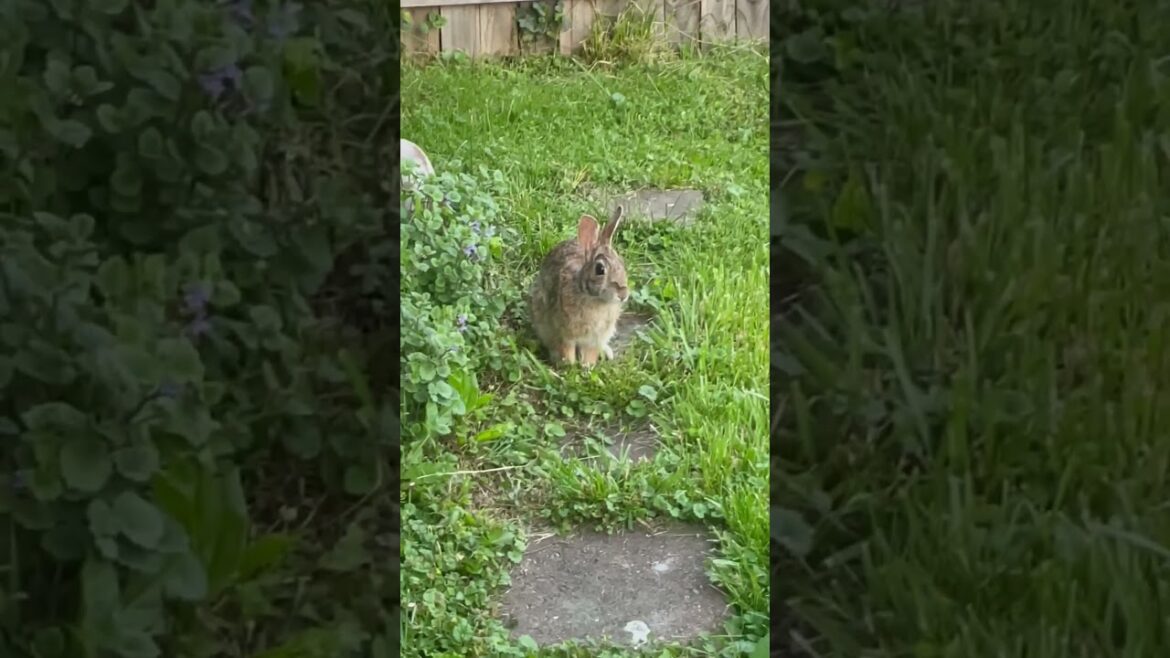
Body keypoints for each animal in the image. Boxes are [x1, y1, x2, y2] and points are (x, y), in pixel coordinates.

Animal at [529, 205, 630, 368]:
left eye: (622, 264)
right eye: (600, 269)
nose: (623, 295)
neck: (591, 296)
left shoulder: (595, 338)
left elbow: (590, 353)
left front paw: (587, 366)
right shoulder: (564, 334)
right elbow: (566, 350)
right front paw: (568, 366)